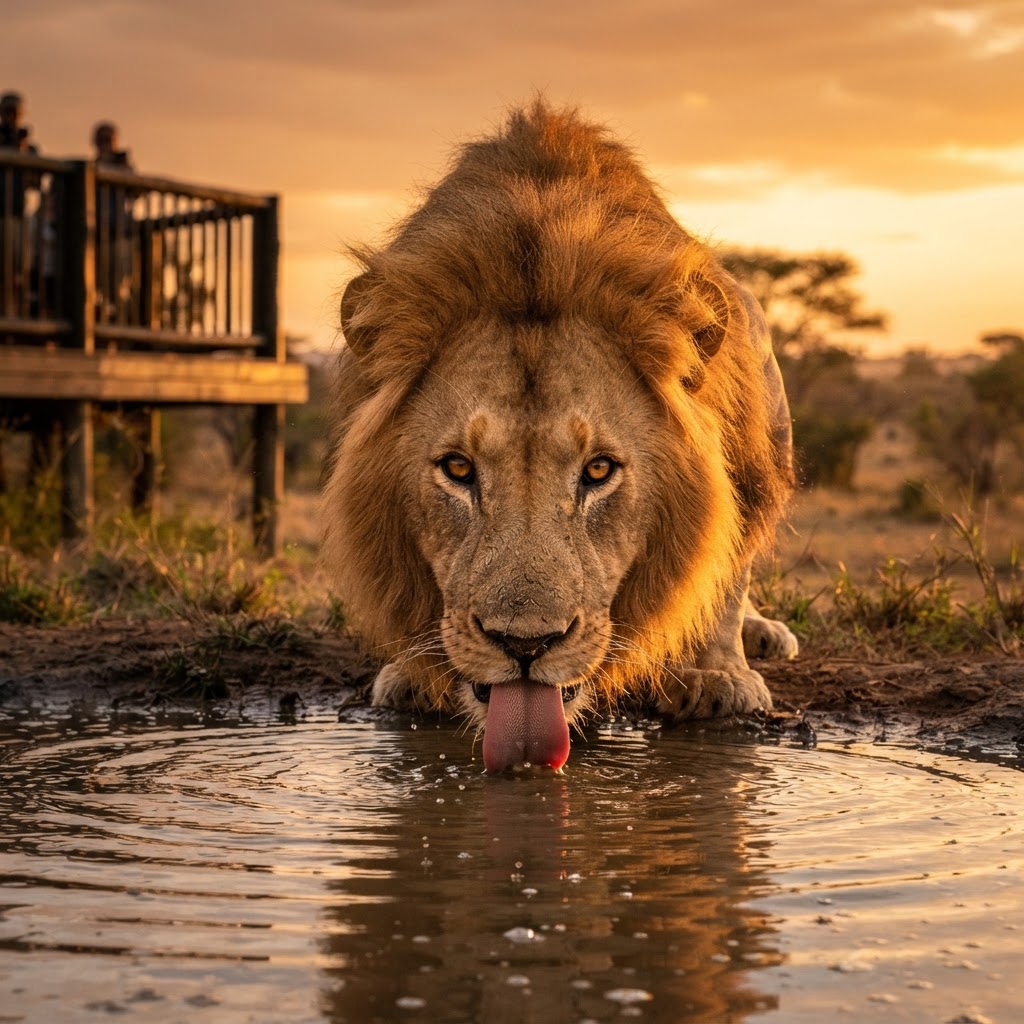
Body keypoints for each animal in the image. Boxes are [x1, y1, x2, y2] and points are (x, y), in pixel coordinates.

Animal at [322, 100, 798, 773]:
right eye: (458, 469)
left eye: (598, 470)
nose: (526, 644)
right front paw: (413, 674)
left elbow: (725, 565)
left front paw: (717, 678)